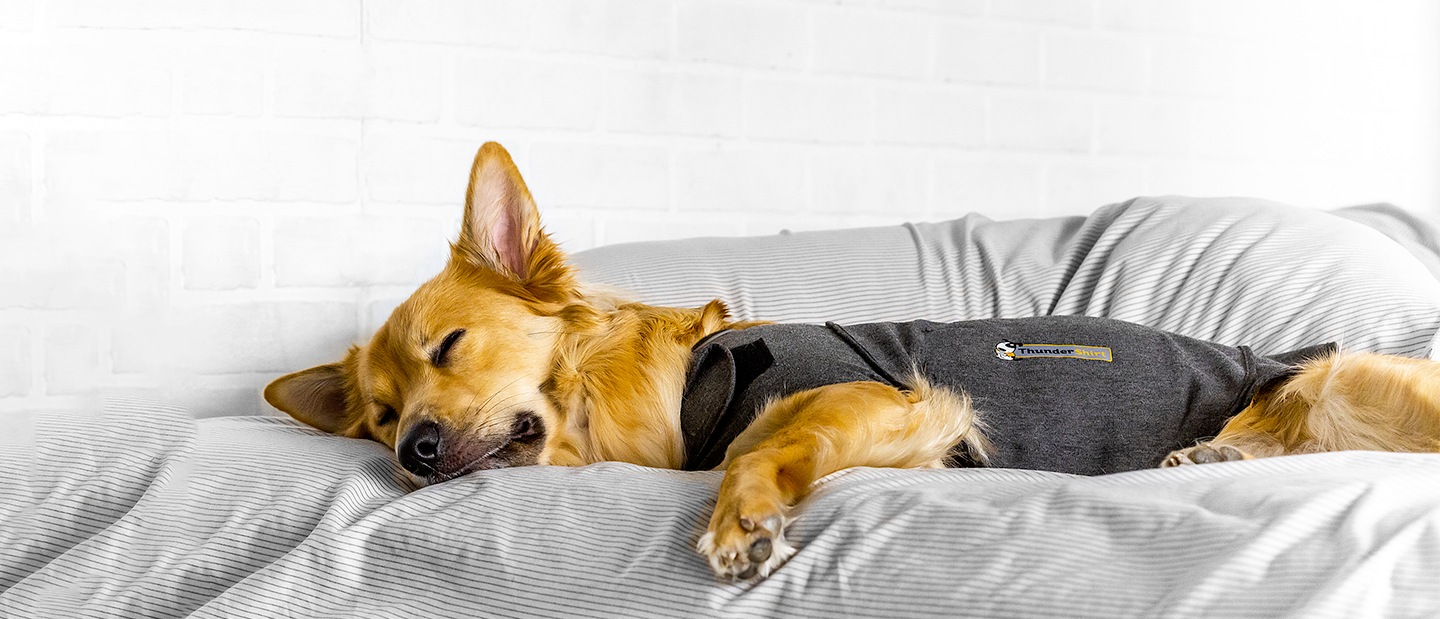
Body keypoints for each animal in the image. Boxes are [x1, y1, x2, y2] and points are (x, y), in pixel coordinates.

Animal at [264, 142, 1440, 581]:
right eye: (378, 416)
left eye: (449, 345)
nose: (411, 451)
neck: (683, 388)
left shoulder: (883, 398)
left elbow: (764, 446)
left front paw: (742, 515)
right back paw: (1218, 459)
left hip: (1355, 382)